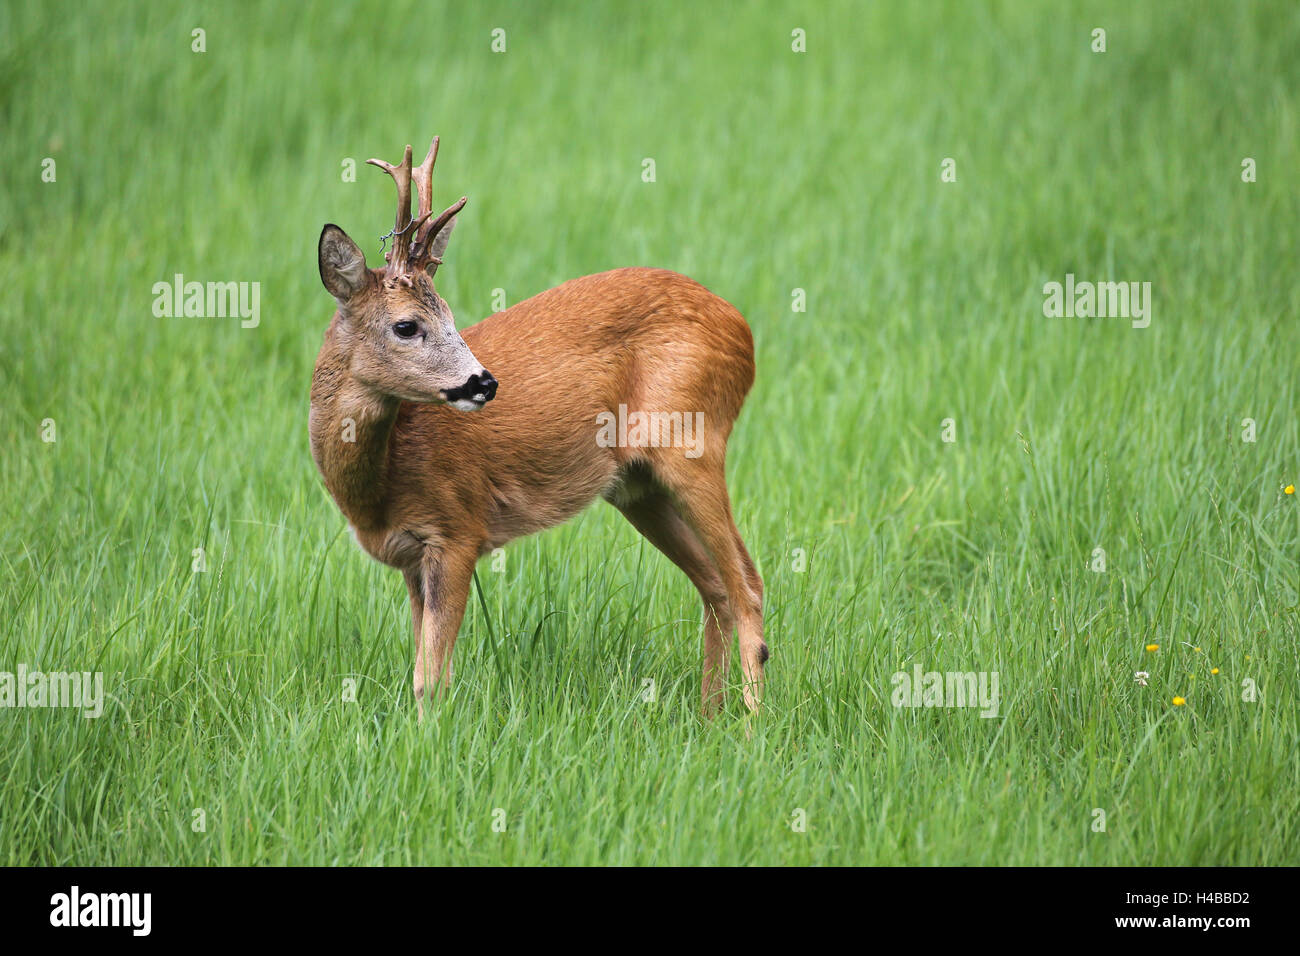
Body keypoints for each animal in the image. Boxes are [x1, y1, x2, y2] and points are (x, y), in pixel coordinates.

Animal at [308, 136, 759, 717]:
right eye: (406, 325)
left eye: (452, 316)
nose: (484, 382)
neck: (379, 485)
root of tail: (743, 330)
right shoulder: (412, 557)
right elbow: (425, 668)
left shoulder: (457, 531)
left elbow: (430, 679)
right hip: (637, 488)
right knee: (716, 587)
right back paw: (709, 719)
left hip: (694, 444)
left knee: (748, 585)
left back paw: (752, 723)